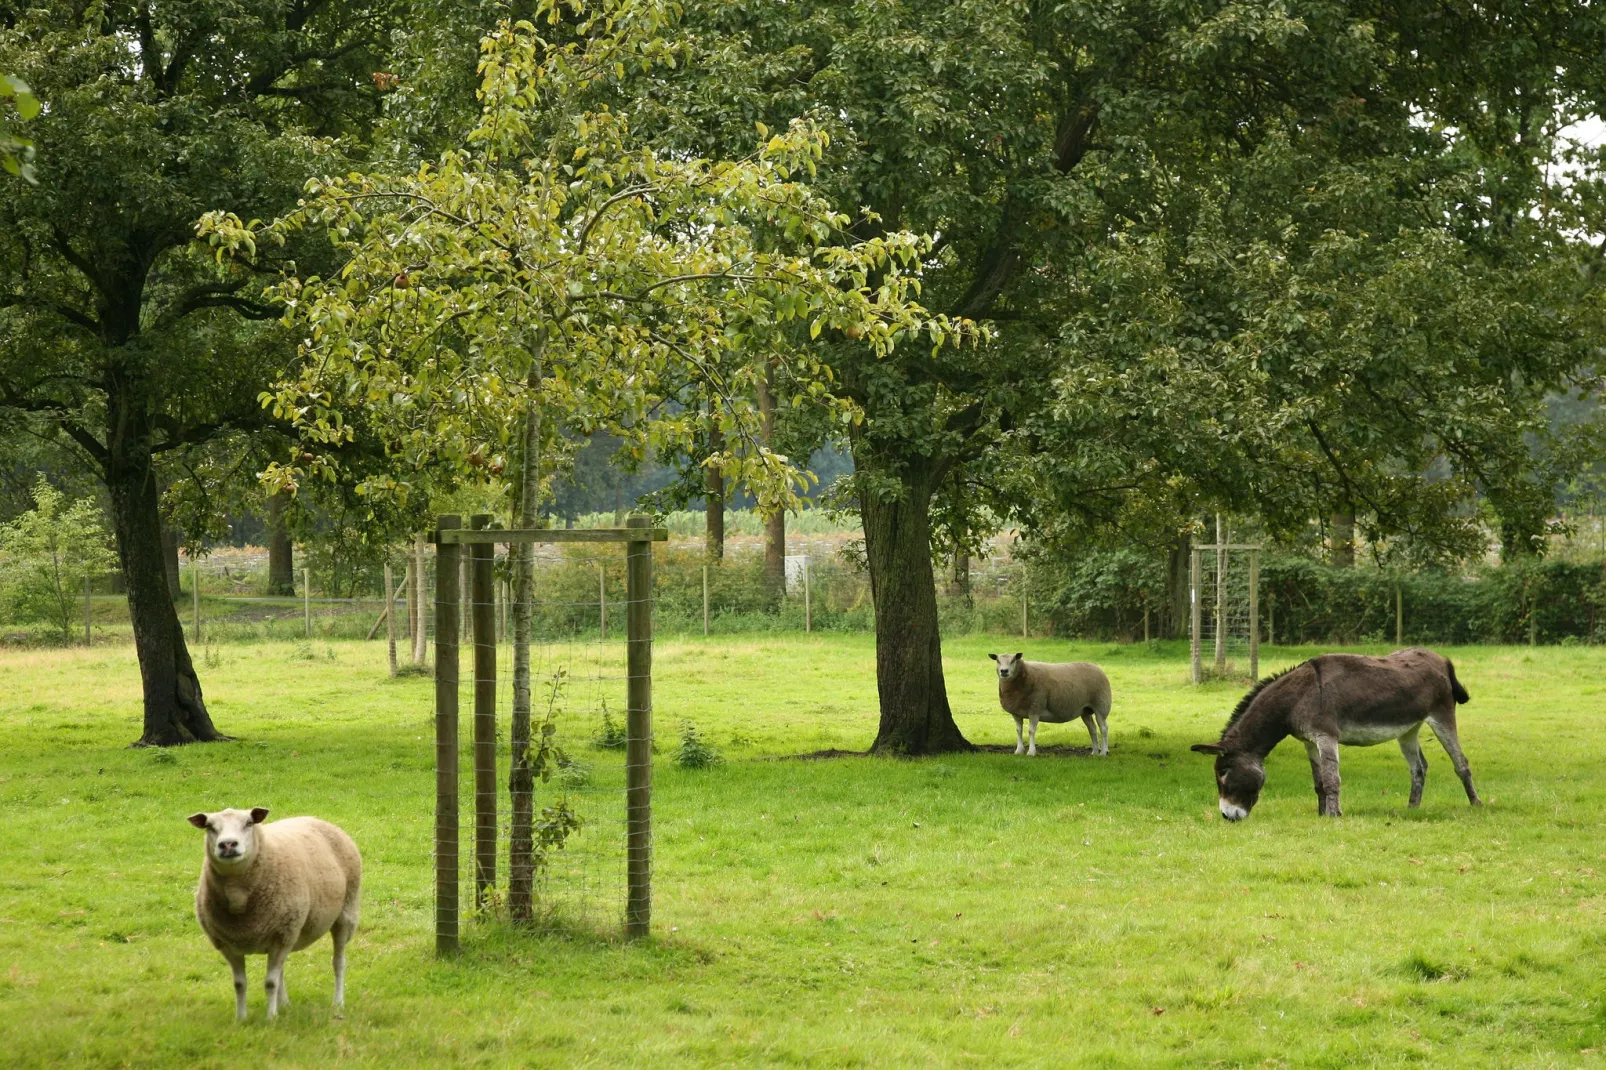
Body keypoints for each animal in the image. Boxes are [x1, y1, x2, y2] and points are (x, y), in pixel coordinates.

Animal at [187, 803, 361, 1021]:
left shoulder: (281, 935)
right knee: (281, 969)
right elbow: (240, 984)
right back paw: (284, 1004)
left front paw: (271, 1018)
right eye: (209, 826)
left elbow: (270, 982)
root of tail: (317, 819)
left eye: (249, 823)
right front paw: (241, 1019)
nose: (227, 845)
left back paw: (338, 1002)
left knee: (338, 962)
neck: (238, 896)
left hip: (344, 914)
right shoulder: (228, 944)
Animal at [982, 645, 1111, 755]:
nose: (1004, 671)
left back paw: (1103, 752)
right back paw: (1094, 752)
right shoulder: (1016, 713)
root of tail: (1098, 668)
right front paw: (1019, 750)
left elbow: (1031, 731)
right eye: (998, 661)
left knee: (1104, 728)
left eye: (1013, 660)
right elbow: (1018, 730)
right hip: (1085, 710)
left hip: (1101, 705)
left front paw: (1031, 752)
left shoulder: (1035, 708)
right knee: (1092, 729)